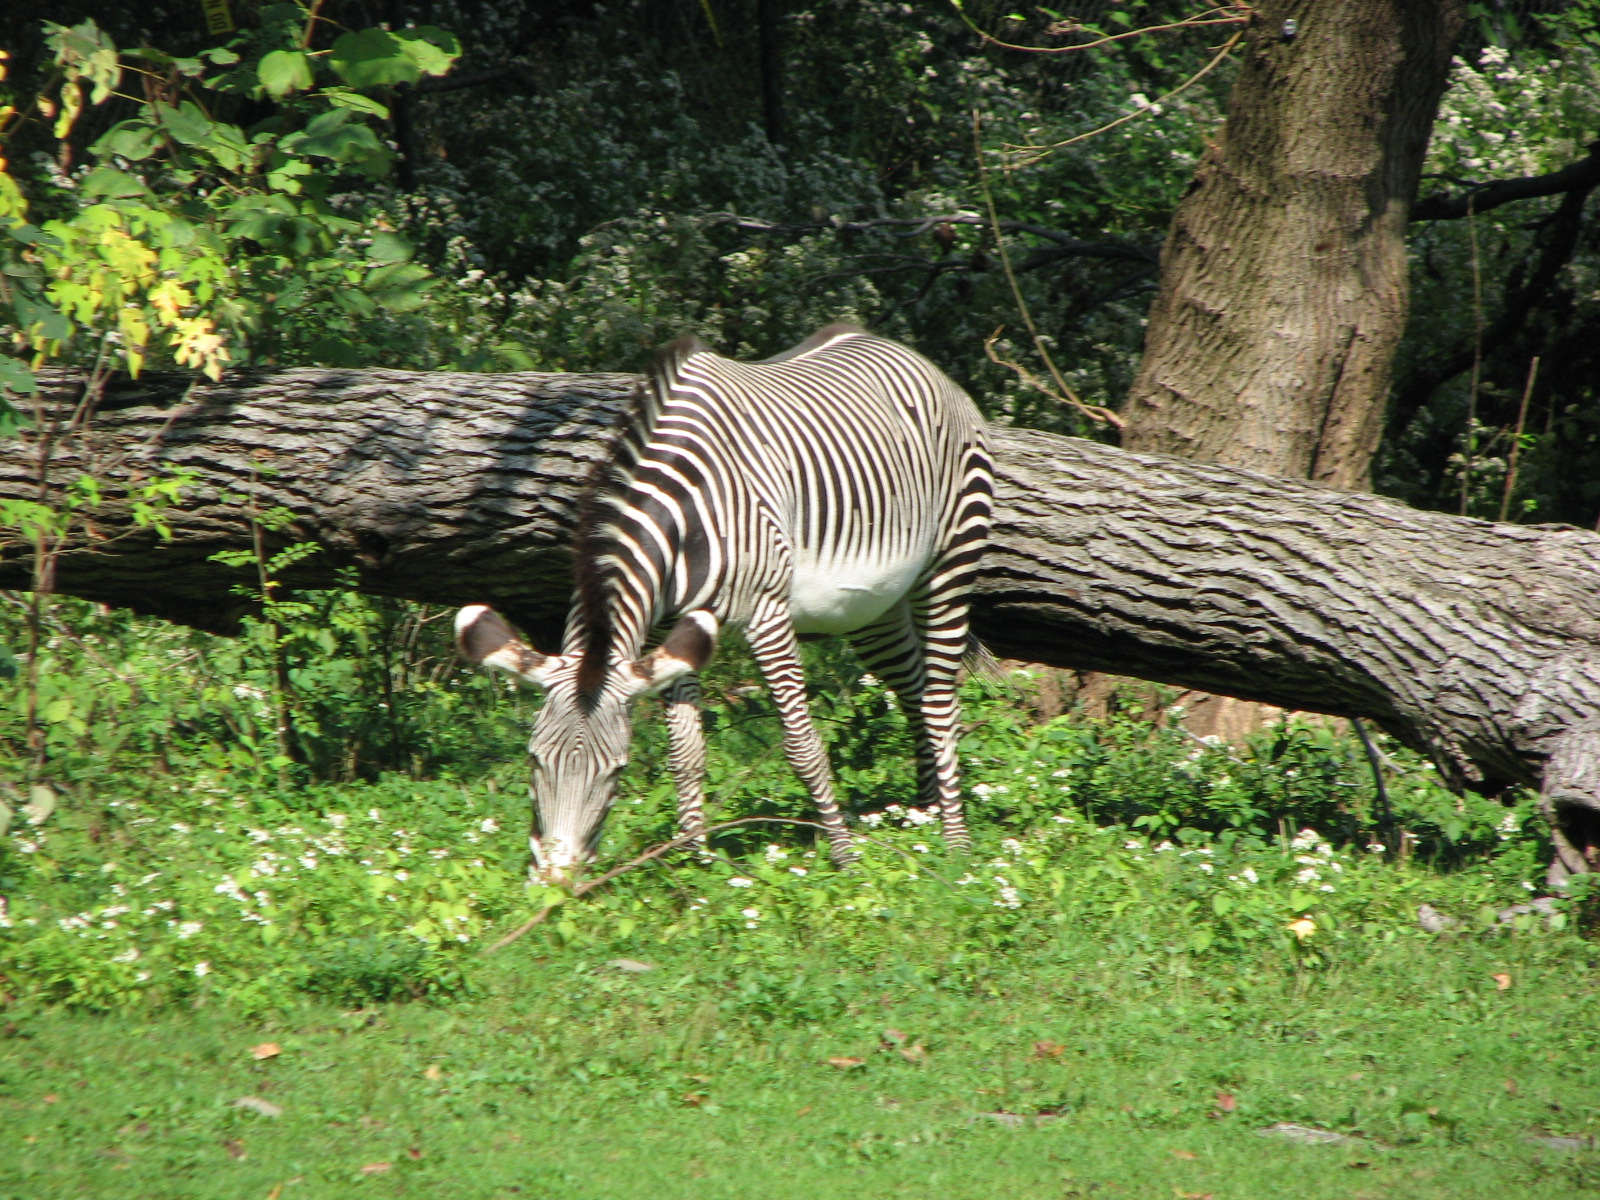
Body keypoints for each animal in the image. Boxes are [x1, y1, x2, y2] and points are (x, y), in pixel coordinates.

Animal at [455, 323, 993, 877]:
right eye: (534, 759)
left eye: (617, 771)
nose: (556, 883)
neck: (679, 513)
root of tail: (895, 347)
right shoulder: (675, 630)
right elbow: (685, 752)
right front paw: (694, 863)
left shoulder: (767, 614)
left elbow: (802, 745)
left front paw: (845, 858)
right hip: (871, 606)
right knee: (912, 687)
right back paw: (923, 815)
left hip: (951, 559)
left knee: (940, 701)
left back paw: (954, 846)